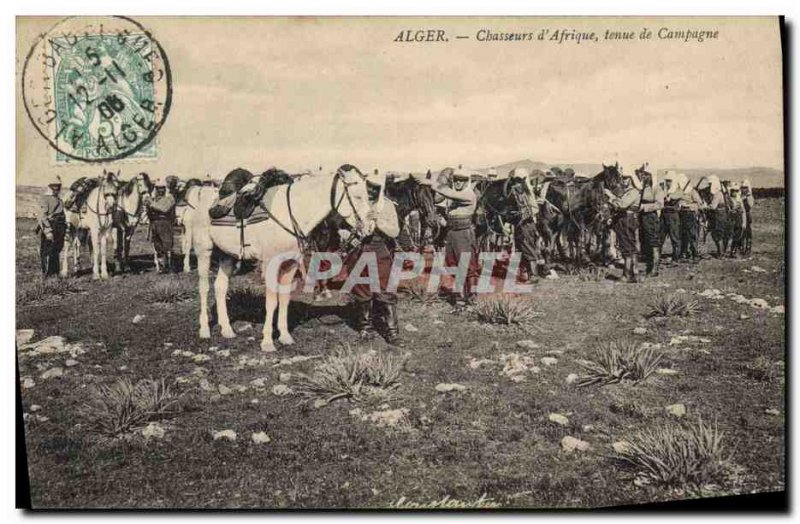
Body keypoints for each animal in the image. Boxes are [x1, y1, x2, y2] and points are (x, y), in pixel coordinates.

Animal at [184, 164, 372, 352]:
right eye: (357, 196)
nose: (370, 228)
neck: (291, 213)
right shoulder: (270, 264)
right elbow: (272, 301)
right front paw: (267, 341)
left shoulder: (290, 264)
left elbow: (284, 299)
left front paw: (285, 336)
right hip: (204, 250)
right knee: (204, 288)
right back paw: (205, 330)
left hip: (227, 255)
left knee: (220, 287)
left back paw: (227, 329)